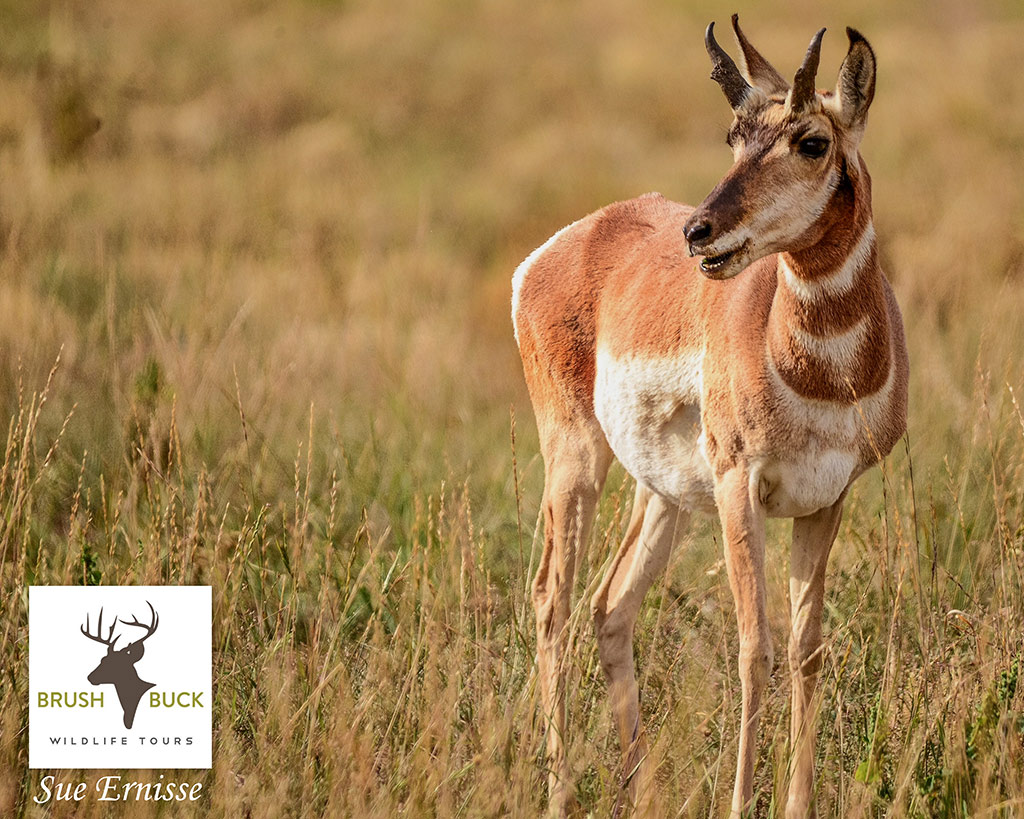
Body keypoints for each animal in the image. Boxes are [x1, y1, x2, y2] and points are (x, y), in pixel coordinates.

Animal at [516, 14, 909, 818]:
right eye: (734, 134)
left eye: (811, 140)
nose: (698, 232)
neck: (818, 370)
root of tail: (572, 240)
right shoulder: (739, 488)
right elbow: (755, 647)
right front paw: (739, 800)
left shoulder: (825, 501)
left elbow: (806, 648)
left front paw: (797, 803)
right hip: (577, 464)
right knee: (551, 600)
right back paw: (562, 788)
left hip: (661, 494)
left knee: (609, 605)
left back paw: (639, 790)